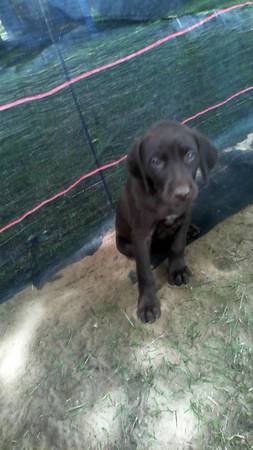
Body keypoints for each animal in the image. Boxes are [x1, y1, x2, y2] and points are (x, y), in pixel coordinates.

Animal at [115, 121, 216, 322]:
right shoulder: (141, 233)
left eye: (190, 155)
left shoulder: (186, 214)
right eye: (155, 162)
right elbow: (144, 272)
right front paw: (148, 304)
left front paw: (177, 270)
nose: (183, 194)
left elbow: (177, 246)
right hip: (123, 242)